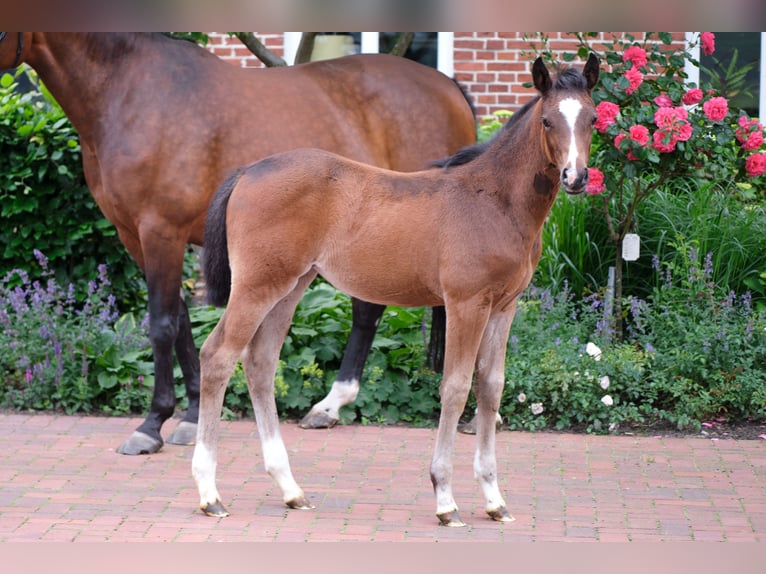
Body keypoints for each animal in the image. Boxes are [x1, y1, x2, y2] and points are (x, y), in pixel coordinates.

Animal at [0, 33, 476, 456]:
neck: (131, 90)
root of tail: (447, 86)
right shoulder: (135, 235)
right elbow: (182, 322)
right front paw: (191, 416)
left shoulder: (161, 231)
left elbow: (161, 325)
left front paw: (151, 425)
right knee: (370, 310)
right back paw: (329, 407)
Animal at [195, 54, 604, 528]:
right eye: (547, 121)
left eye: (592, 118)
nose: (575, 177)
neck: (496, 200)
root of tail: (248, 171)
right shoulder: (465, 304)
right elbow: (455, 387)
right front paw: (445, 499)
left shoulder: (504, 307)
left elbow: (491, 386)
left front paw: (494, 498)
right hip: (257, 286)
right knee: (217, 356)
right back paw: (209, 493)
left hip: (291, 287)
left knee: (260, 362)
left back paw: (291, 489)